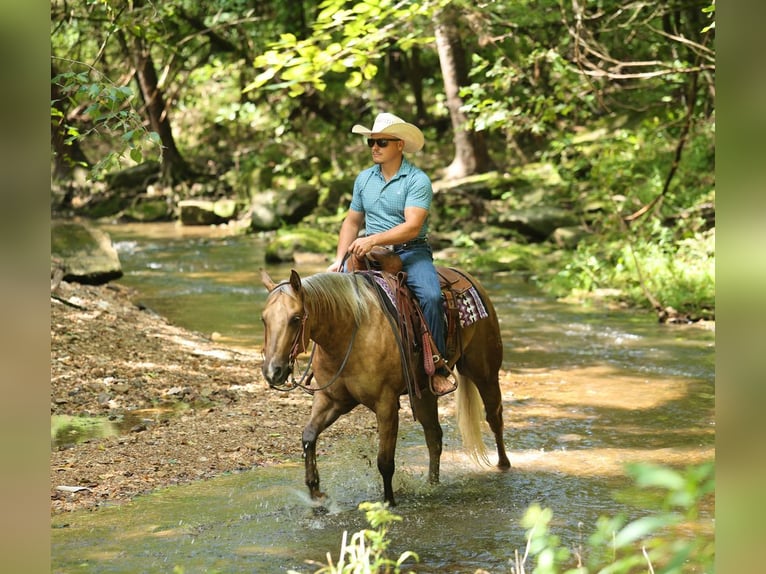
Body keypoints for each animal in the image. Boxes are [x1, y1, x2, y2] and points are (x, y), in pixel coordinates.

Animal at [260, 267, 510, 506]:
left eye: (295, 318)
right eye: (264, 319)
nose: (273, 371)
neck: (349, 332)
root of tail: (467, 277)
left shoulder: (386, 404)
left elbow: (385, 461)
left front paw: (389, 503)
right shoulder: (332, 400)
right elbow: (308, 436)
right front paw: (316, 492)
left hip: (484, 373)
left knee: (494, 418)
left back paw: (504, 465)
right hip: (423, 393)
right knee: (434, 436)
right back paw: (432, 483)